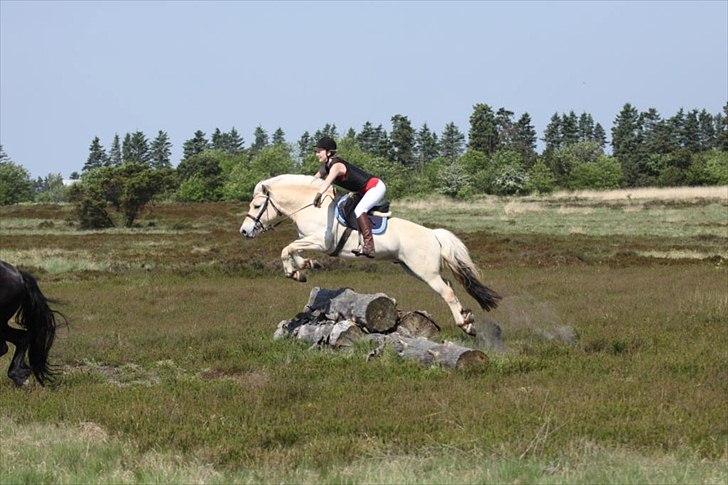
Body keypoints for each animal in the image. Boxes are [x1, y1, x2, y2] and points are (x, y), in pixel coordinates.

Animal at [239, 174, 500, 336]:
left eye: (256, 206)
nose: (244, 232)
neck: (312, 207)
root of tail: (432, 234)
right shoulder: (309, 240)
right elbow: (294, 249)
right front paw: (305, 267)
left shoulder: (322, 241)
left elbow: (286, 249)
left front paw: (293, 272)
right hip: (415, 269)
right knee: (449, 285)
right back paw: (468, 318)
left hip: (425, 271)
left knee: (447, 292)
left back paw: (465, 325)